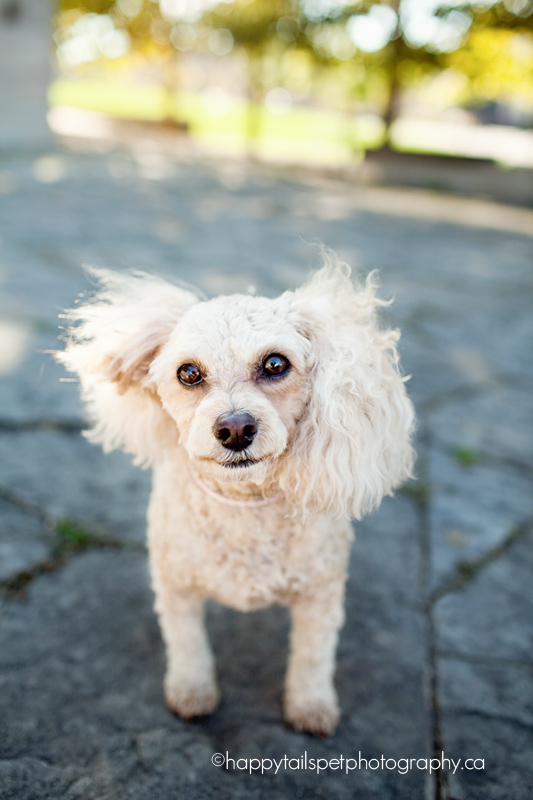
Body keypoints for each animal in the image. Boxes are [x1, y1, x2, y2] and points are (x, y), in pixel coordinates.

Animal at [58, 260, 416, 736]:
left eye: (276, 363)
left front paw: (311, 706)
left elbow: (313, 656)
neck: (244, 505)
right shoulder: (175, 585)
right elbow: (187, 642)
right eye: (188, 373)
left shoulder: (320, 595)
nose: (234, 429)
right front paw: (192, 693)